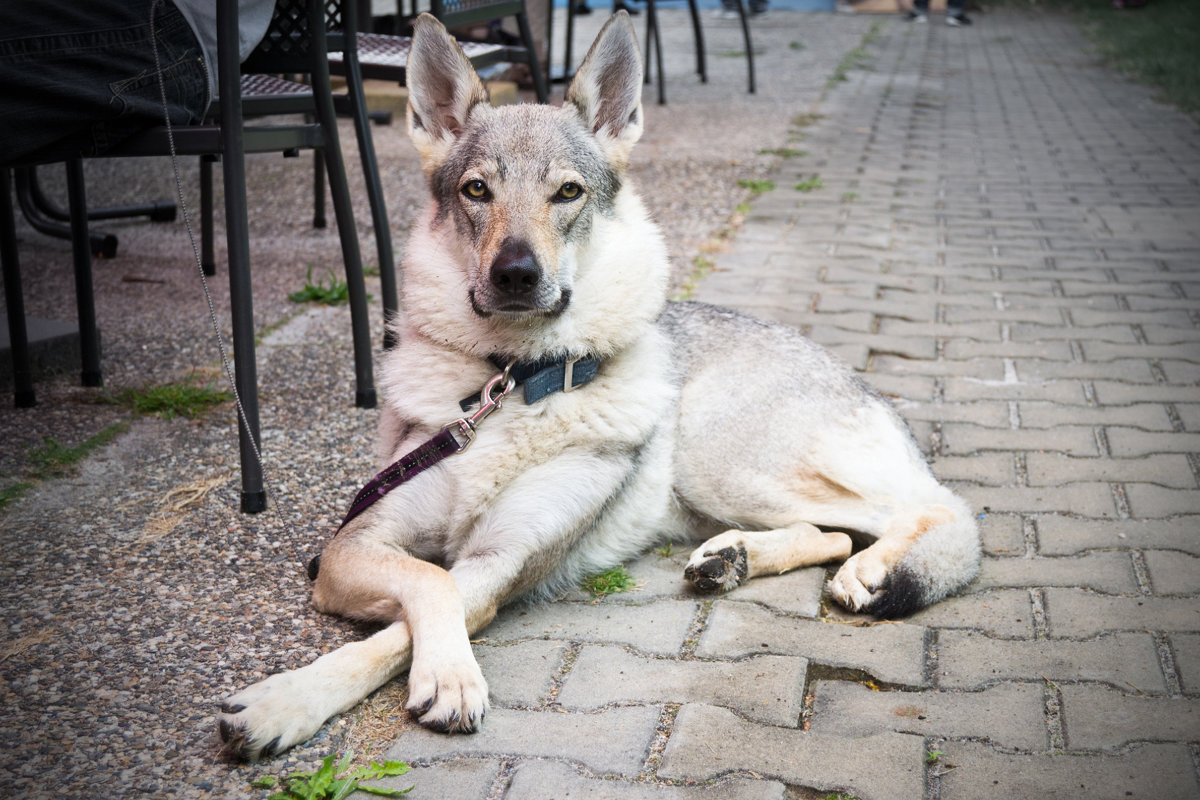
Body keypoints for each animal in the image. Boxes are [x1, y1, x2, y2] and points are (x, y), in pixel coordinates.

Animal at [218, 14, 974, 762]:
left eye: (567, 193)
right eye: (476, 191)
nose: (516, 273)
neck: (512, 383)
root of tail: (851, 374)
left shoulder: (497, 566)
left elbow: (425, 608)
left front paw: (391, 684)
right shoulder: (353, 546)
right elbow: (426, 580)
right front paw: (306, 696)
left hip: (720, 461)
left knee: (933, 512)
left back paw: (871, 572)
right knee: (833, 534)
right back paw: (732, 559)